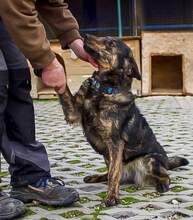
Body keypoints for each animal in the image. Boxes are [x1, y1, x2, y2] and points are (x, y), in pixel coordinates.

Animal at [58, 34, 188, 206]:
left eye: (111, 43)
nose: (85, 36)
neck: (105, 90)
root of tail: (166, 161)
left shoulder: (115, 142)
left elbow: (114, 173)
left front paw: (112, 196)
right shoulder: (72, 113)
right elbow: (65, 90)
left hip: (149, 159)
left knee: (164, 175)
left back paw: (162, 185)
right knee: (110, 173)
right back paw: (96, 176)